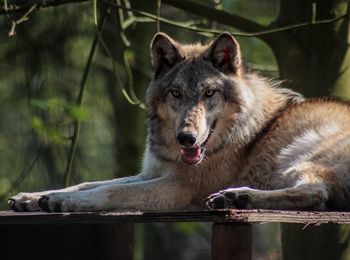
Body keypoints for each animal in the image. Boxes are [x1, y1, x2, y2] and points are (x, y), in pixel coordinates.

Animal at [8, 31, 350, 212]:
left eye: (209, 93)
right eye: (176, 93)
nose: (186, 138)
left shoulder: (179, 187)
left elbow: (112, 193)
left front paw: (63, 200)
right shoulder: (150, 173)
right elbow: (90, 183)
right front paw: (33, 197)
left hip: (302, 157)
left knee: (316, 195)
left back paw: (237, 196)